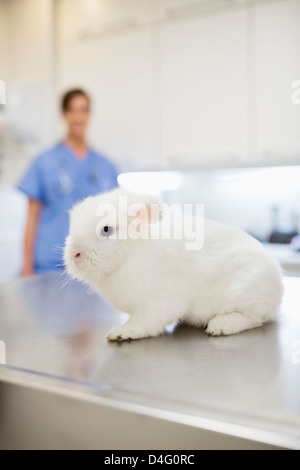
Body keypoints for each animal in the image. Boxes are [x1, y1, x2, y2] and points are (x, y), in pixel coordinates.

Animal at [63, 187, 284, 342]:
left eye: (106, 230)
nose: (74, 254)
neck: (131, 252)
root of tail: (278, 286)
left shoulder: (155, 303)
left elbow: (144, 323)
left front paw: (121, 333)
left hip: (245, 295)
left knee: (254, 318)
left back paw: (221, 326)